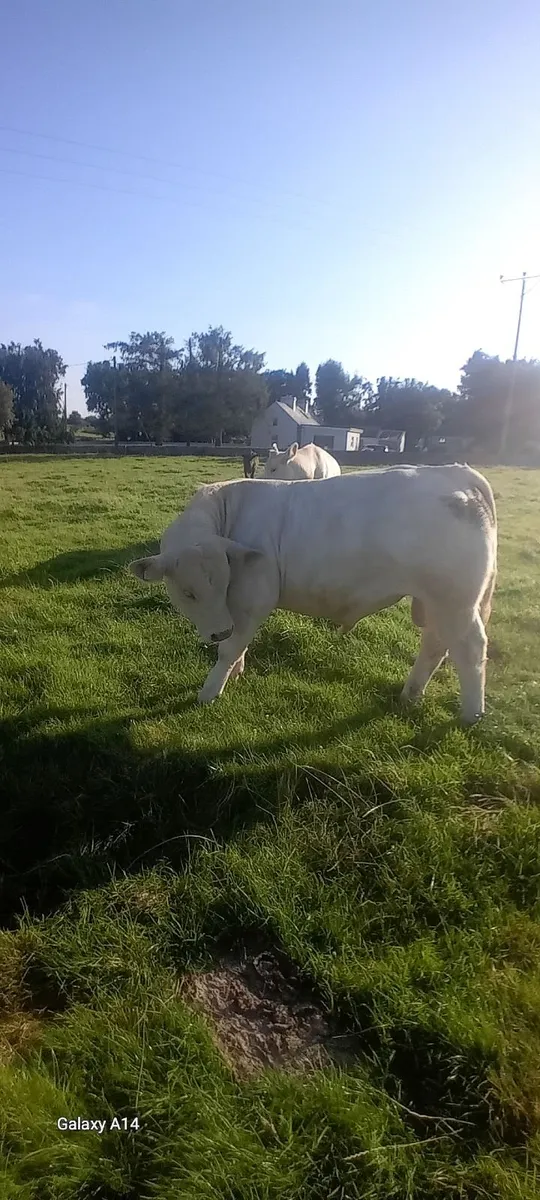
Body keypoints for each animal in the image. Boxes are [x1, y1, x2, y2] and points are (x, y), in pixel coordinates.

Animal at [129, 464, 497, 724]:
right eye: (188, 592)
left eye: (222, 583)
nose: (218, 630)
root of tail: (455, 471)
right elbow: (236, 646)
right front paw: (235, 673)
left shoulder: (253, 599)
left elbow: (228, 649)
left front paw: (209, 692)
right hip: (437, 602)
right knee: (435, 644)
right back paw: (410, 695)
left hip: (455, 600)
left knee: (469, 649)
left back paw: (471, 714)